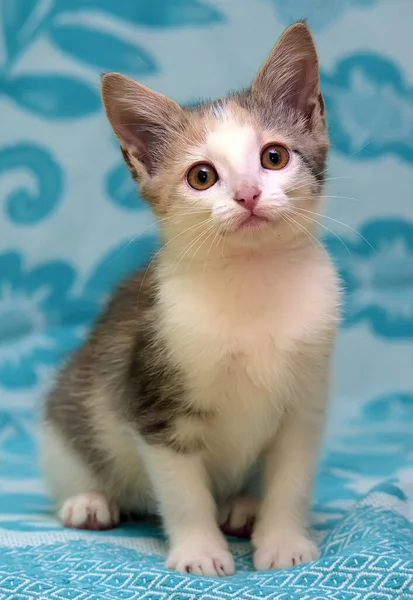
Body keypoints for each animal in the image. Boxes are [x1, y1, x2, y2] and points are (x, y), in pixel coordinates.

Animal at [41, 22, 338, 576]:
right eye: (202, 176)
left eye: (274, 157)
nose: (247, 194)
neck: (250, 279)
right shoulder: (153, 401)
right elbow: (183, 492)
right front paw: (200, 551)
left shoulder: (305, 402)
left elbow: (291, 480)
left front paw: (283, 540)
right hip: (71, 405)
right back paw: (89, 501)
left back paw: (242, 507)